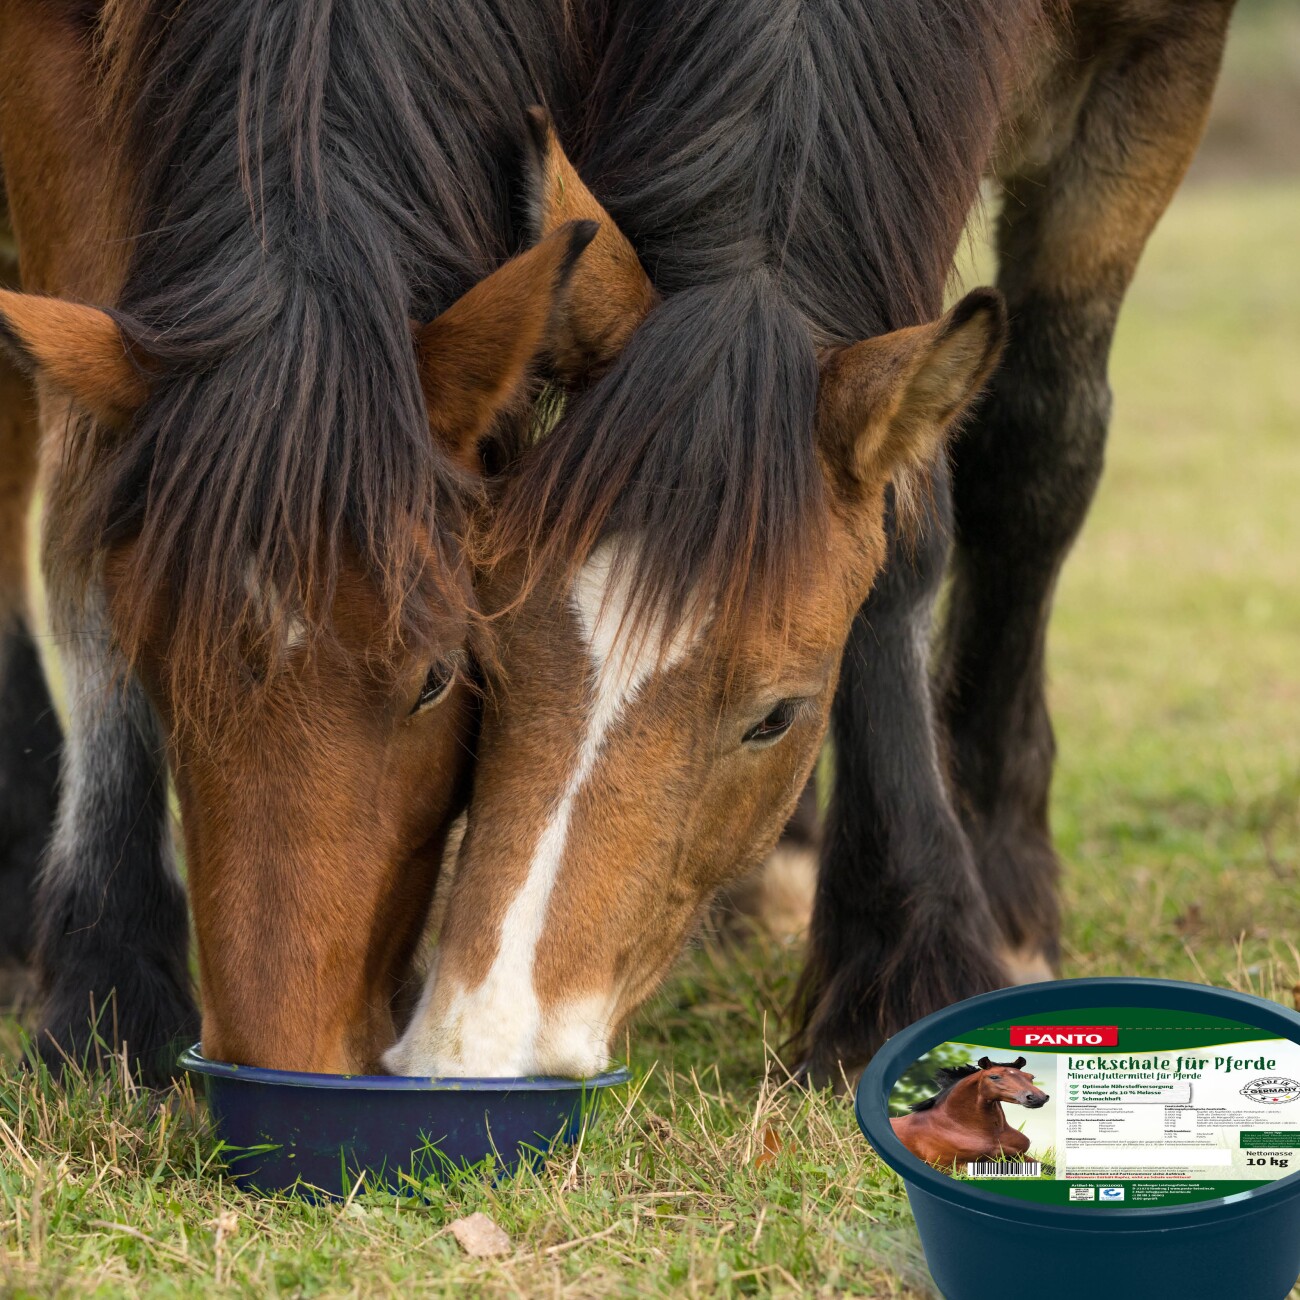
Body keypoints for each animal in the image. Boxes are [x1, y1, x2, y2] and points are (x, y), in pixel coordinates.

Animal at [386, 0, 1237, 1081]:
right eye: (486, 665)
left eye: (777, 716)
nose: (479, 1039)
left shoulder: (1155, 72)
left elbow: (1031, 454)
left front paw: (967, 926)